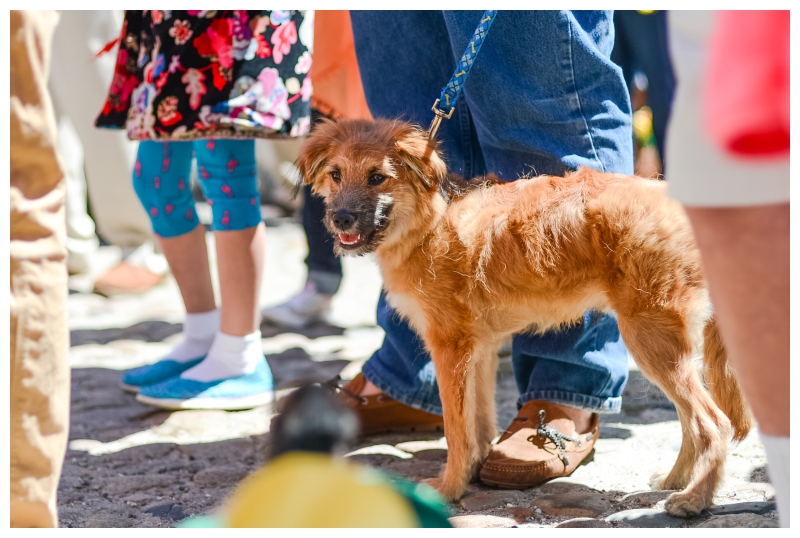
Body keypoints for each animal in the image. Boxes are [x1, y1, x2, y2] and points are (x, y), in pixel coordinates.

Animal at [296, 118, 752, 516]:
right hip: (664, 347)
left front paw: (448, 488)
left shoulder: (449, 349)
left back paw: (695, 499)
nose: (340, 218)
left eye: (378, 177)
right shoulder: (477, 350)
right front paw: (473, 473)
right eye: (336, 174)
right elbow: (478, 423)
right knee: (692, 420)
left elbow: (455, 430)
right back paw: (676, 481)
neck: (430, 221)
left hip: (651, 340)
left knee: (714, 423)